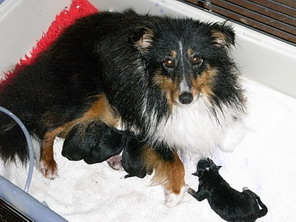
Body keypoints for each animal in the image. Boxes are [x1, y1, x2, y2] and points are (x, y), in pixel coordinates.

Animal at [0, 9, 245, 206]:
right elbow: (174, 160)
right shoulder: (151, 125)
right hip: (89, 97)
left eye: (197, 59)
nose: (186, 98)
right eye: (168, 62)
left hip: (107, 110)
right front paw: (175, 194)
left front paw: (231, 138)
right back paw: (48, 164)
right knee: (47, 127)